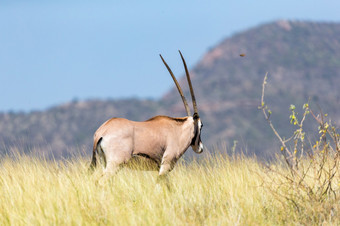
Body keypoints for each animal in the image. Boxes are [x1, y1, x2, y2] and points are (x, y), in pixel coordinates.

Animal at [89, 50, 203, 181]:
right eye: (201, 125)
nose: (200, 148)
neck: (177, 129)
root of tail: (101, 131)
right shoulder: (165, 166)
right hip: (115, 165)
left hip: (105, 163)